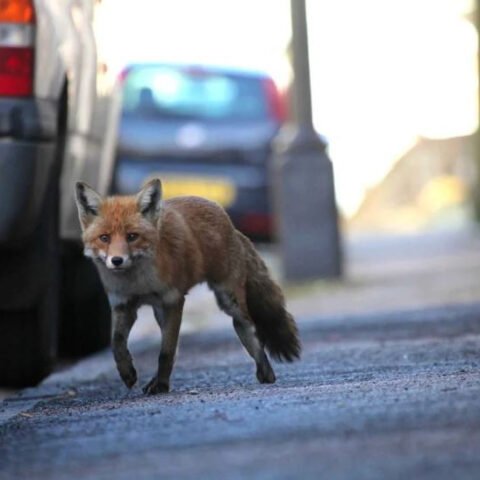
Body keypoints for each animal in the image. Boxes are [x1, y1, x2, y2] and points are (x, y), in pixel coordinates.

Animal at [75, 180, 300, 394]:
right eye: (104, 238)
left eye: (132, 236)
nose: (117, 260)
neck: (139, 284)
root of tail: (231, 225)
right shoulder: (124, 305)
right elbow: (117, 344)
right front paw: (127, 373)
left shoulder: (173, 301)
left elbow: (165, 352)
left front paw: (161, 386)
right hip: (163, 312)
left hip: (229, 301)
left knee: (251, 331)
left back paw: (266, 372)